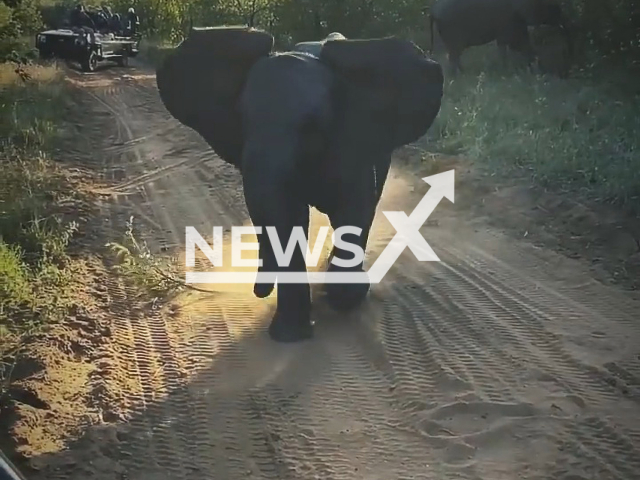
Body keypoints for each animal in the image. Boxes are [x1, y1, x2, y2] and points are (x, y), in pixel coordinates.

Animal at [156, 27, 444, 342]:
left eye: (311, 125)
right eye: (242, 120)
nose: (259, 289)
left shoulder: (351, 142)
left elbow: (352, 211)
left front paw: (346, 297)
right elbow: (286, 216)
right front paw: (289, 335)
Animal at [430, 0, 568, 74]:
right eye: (548, 5)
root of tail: (433, 11)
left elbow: (521, 43)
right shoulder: (508, 21)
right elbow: (507, 44)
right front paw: (505, 71)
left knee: (455, 55)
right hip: (452, 30)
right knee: (454, 55)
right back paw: (457, 78)